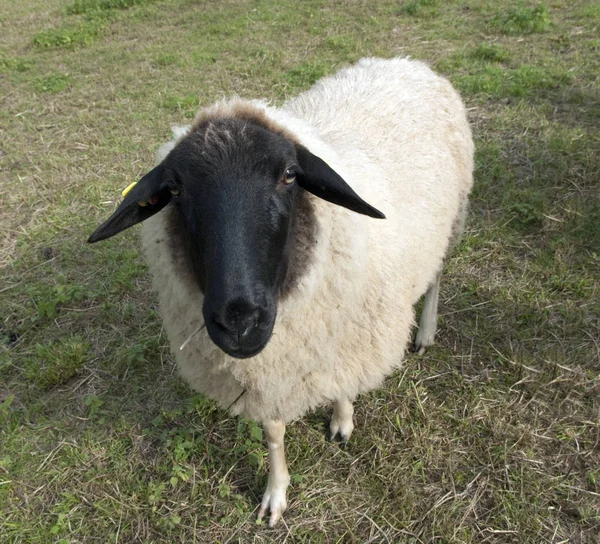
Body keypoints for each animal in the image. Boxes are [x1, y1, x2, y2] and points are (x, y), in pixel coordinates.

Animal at [88, 56, 474, 528]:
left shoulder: (346, 335)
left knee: (435, 276)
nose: (239, 322)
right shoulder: (268, 372)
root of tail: (403, 61)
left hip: (451, 219)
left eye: (290, 174)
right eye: (175, 189)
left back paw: (426, 332)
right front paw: (276, 492)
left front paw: (342, 420)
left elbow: (343, 382)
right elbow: (273, 433)